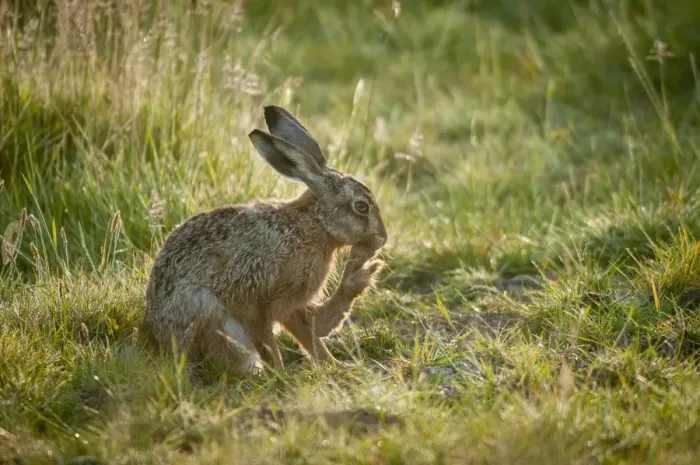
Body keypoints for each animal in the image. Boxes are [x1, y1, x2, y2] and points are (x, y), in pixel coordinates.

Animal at [141, 105, 387, 373]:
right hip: (208, 311)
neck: (317, 224)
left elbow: (309, 332)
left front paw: (334, 365)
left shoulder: (290, 304)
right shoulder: (269, 300)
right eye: (361, 207)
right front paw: (283, 373)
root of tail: (158, 336)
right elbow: (279, 336)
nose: (382, 239)